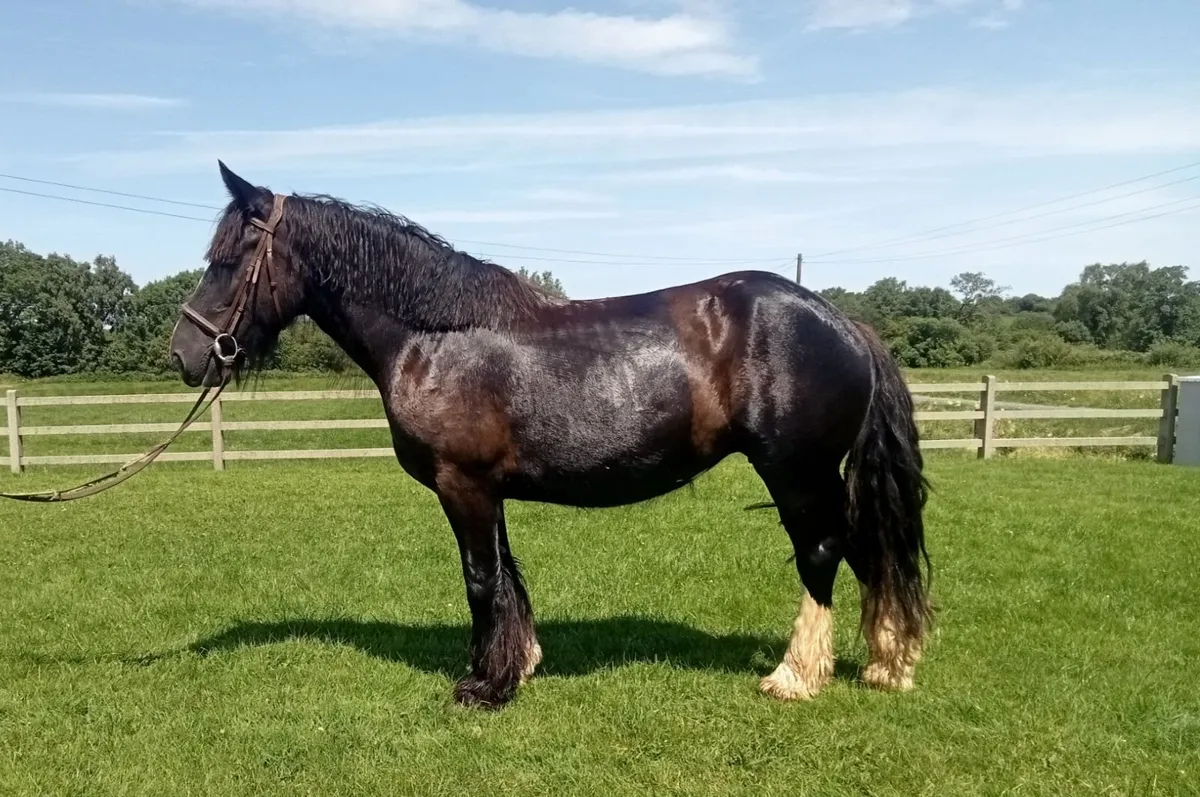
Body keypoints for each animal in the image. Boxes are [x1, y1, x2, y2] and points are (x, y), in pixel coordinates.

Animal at [169, 161, 933, 709]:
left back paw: (797, 675)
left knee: (822, 552)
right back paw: (888, 663)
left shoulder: (463, 486)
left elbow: (480, 578)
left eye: (231, 259)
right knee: (865, 546)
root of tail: (843, 323)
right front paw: (521, 664)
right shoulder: (487, 489)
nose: (184, 353)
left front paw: (484, 686)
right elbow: (507, 574)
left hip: (796, 472)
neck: (436, 337)